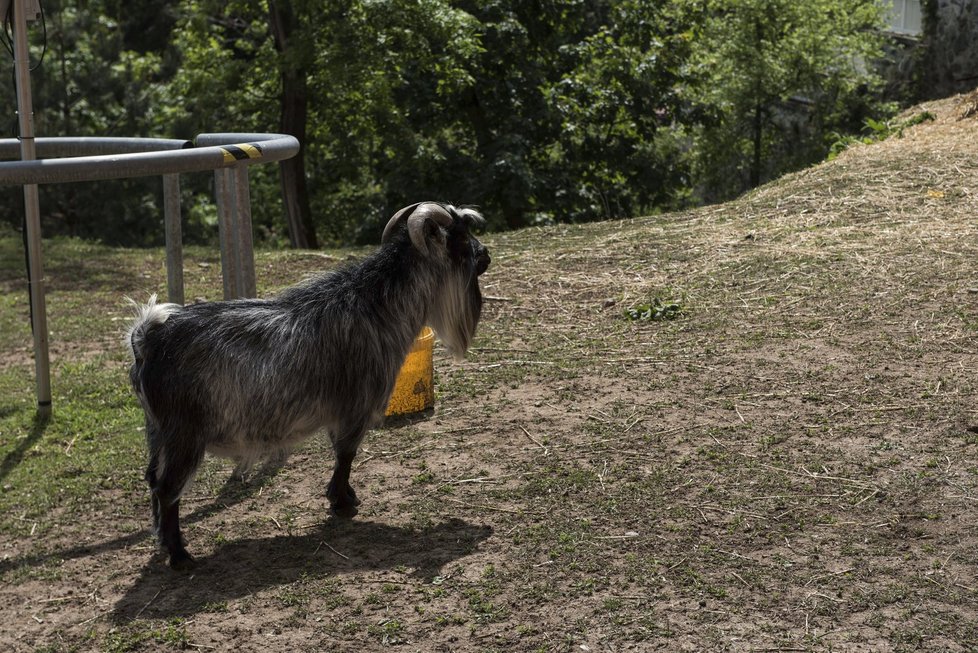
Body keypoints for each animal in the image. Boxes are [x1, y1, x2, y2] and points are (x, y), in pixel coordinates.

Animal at [127, 201, 492, 568]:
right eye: (460, 240)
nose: (486, 255)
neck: (375, 305)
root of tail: (148, 338)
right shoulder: (355, 406)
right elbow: (346, 454)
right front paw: (342, 502)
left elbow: (341, 454)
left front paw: (345, 497)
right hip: (183, 436)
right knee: (167, 489)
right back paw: (179, 554)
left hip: (157, 432)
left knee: (152, 479)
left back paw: (161, 540)